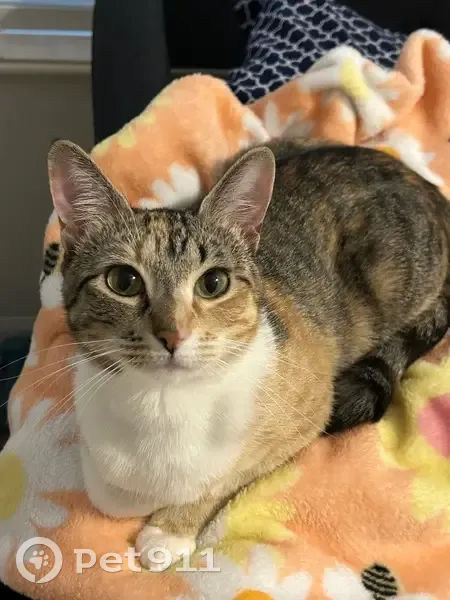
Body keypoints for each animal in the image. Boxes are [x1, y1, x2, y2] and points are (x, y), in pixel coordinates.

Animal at [47, 138, 450, 569]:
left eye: (213, 283)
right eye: (123, 281)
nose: (173, 335)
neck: (163, 404)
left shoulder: (308, 414)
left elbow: (227, 476)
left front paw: (170, 529)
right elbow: (110, 494)